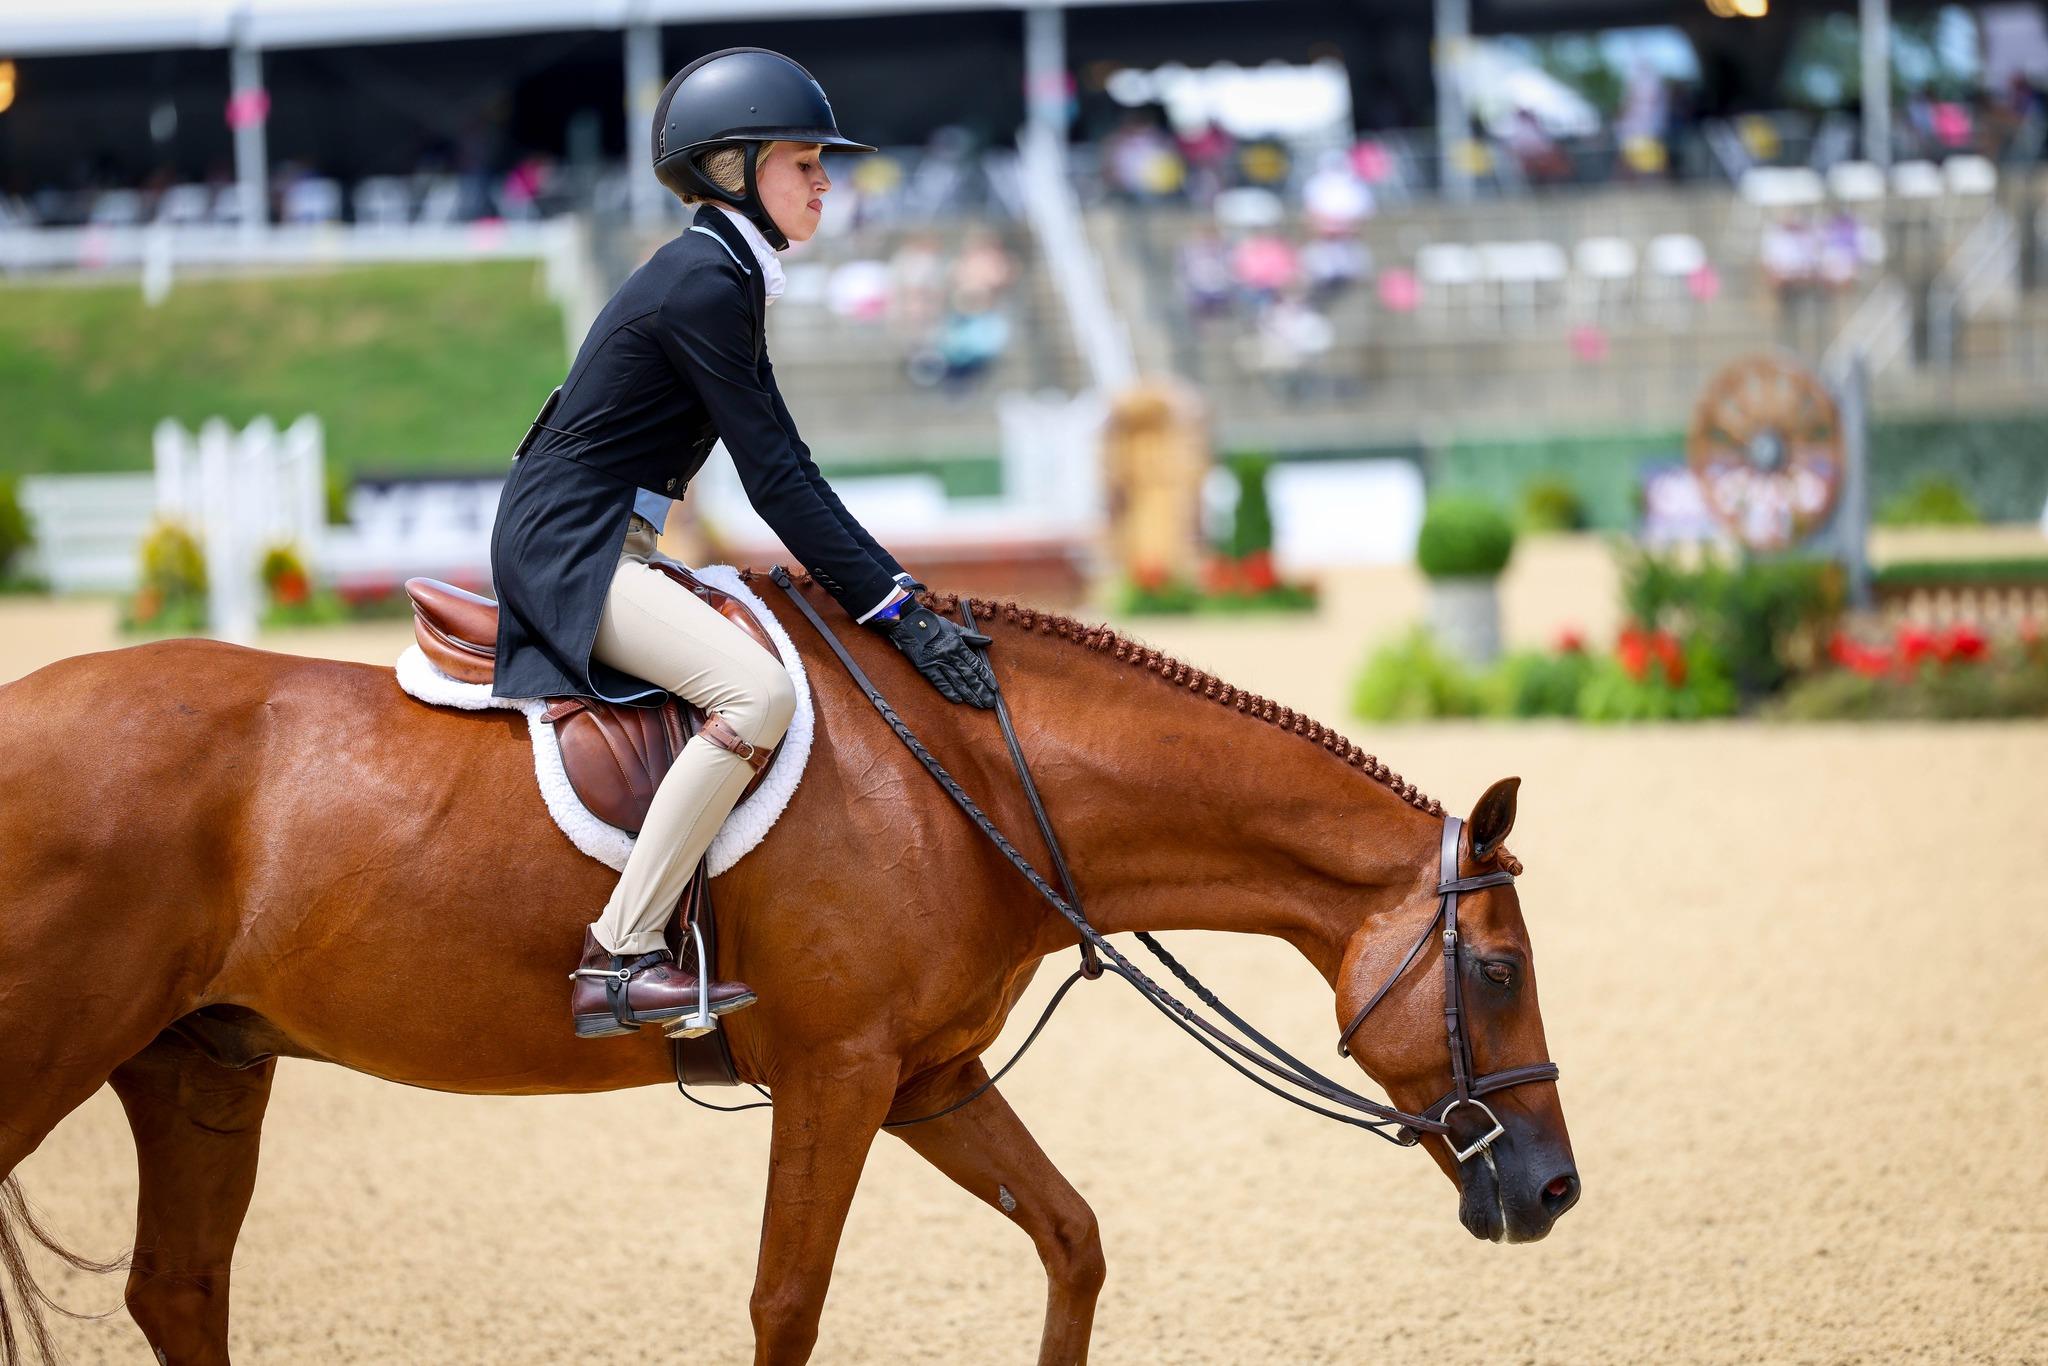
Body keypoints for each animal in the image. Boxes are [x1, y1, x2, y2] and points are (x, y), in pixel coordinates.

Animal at [0, 575, 1577, 1365]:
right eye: (1498, 971)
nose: (1554, 1190)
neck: (974, 782)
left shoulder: (929, 1077)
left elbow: (1072, 1240)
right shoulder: (836, 1074)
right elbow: (787, 1301)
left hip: (200, 1066)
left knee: (180, 1290)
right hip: (53, 1060)